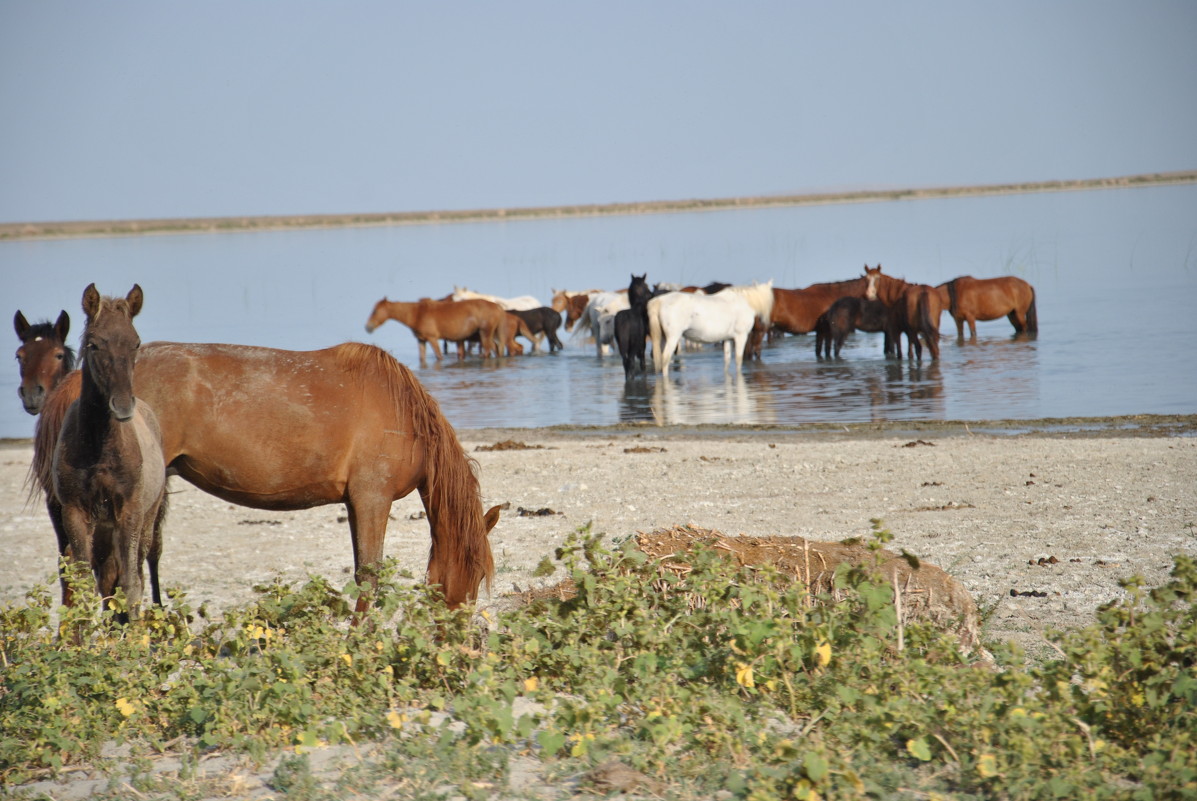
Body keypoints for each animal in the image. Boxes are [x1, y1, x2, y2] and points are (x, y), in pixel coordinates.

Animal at [35, 340, 497, 608]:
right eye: (474, 574)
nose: (458, 641)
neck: (402, 414)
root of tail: (82, 381)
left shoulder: (356, 503)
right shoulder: (372, 498)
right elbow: (369, 575)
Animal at [52, 283, 166, 622]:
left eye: (136, 342)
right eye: (94, 344)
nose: (123, 405)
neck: (98, 448)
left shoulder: (130, 511)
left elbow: (131, 582)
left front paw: (136, 634)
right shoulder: (75, 512)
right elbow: (82, 583)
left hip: (146, 518)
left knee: (136, 570)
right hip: (103, 529)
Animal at [366, 296, 512, 361]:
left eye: (375, 311)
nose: (367, 327)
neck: (417, 313)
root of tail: (498, 307)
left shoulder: (432, 338)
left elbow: (439, 356)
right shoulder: (421, 340)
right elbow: (422, 358)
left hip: (485, 334)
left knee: (487, 351)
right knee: (496, 349)